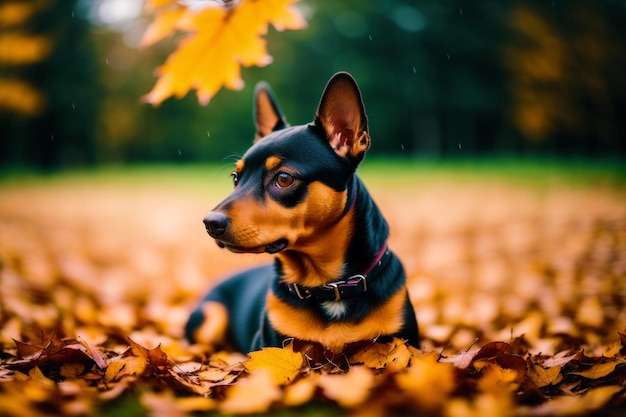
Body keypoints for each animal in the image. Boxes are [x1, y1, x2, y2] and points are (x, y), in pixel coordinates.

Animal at [185, 73, 420, 352]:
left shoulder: (405, 344)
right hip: (211, 316)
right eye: (235, 178)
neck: (327, 287)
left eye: (284, 178)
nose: (210, 223)